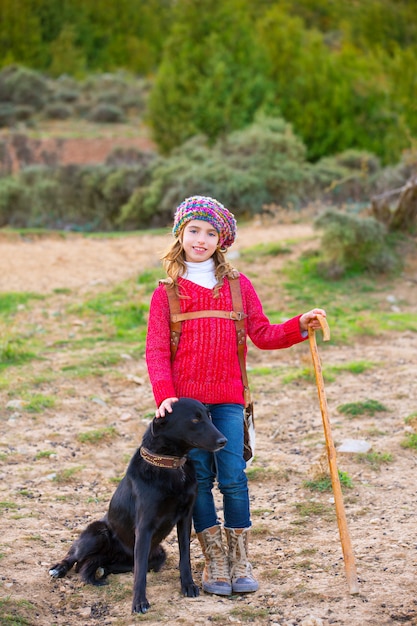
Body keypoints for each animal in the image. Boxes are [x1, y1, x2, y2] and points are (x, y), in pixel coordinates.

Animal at [48, 398, 228, 612]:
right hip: (97, 533)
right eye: (195, 419)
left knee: (104, 565)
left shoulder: (185, 519)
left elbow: (184, 556)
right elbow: (140, 572)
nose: (224, 441)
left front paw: (188, 585)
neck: (170, 465)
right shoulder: (144, 527)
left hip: (157, 554)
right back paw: (60, 568)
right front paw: (139, 602)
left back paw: (99, 569)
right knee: (74, 554)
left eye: (209, 417)